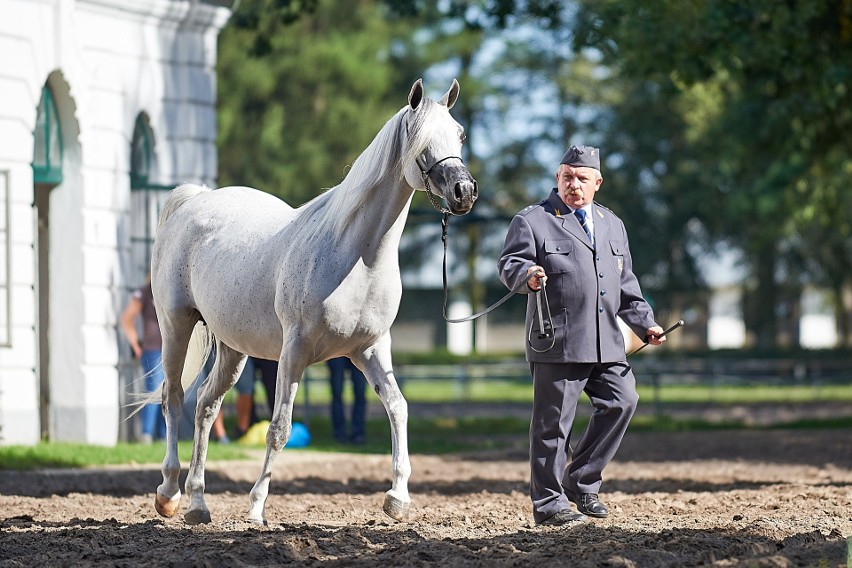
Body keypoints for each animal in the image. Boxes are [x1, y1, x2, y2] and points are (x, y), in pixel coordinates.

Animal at [149, 79, 476, 524]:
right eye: (421, 141)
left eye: (459, 134)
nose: (464, 192)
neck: (356, 255)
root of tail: (195, 201)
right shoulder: (295, 351)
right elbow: (279, 429)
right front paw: (256, 507)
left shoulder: (370, 349)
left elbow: (398, 407)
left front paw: (397, 497)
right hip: (176, 326)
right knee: (174, 399)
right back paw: (168, 494)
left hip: (233, 347)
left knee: (205, 405)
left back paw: (198, 503)